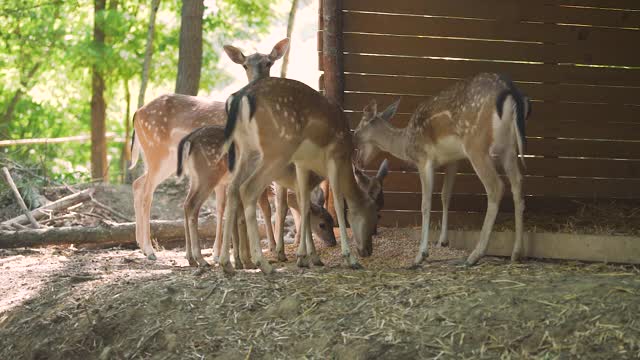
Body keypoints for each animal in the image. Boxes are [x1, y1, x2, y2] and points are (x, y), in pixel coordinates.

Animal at [130, 38, 290, 260]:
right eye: (245, 65)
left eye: (269, 63)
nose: (256, 83)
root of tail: (137, 113)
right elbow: (257, 204)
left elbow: (237, 206)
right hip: (156, 151)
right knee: (147, 192)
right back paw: (149, 249)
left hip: (161, 159)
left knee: (137, 184)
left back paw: (141, 244)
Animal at [172, 124, 338, 268]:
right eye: (322, 224)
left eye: (332, 221)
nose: (333, 242)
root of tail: (189, 139)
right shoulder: (275, 182)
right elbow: (278, 209)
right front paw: (278, 251)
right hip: (208, 176)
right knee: (193, 205)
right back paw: (202, 259)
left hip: (197, 178)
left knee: (186, 205)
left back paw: (192, 258)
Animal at [218, 77, 382, 274]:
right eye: (374, 215)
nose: (368, 250)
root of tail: (238, 97)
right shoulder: (335, 156)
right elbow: (338, 205)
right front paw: (349, 258)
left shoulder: (302, 164)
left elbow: (304, 206)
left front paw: (304, 257)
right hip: (277, 148)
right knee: (248, 189)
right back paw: (263, 264)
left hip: (244, 150)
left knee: (233, 189)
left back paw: (226, 263)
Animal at [356, 72, 528, 268]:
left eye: (357, 130)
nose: (358, 162)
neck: (406, 143)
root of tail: (510, 91)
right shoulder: (454, 159)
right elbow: (446, 194)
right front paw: (443, 241)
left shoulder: (423, 159)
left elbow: (425, 203)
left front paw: (420, 256)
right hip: (509, 147)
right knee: (518, 183)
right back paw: (516, 253)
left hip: (476, 144)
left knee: (496, 186)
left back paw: (475, 255)